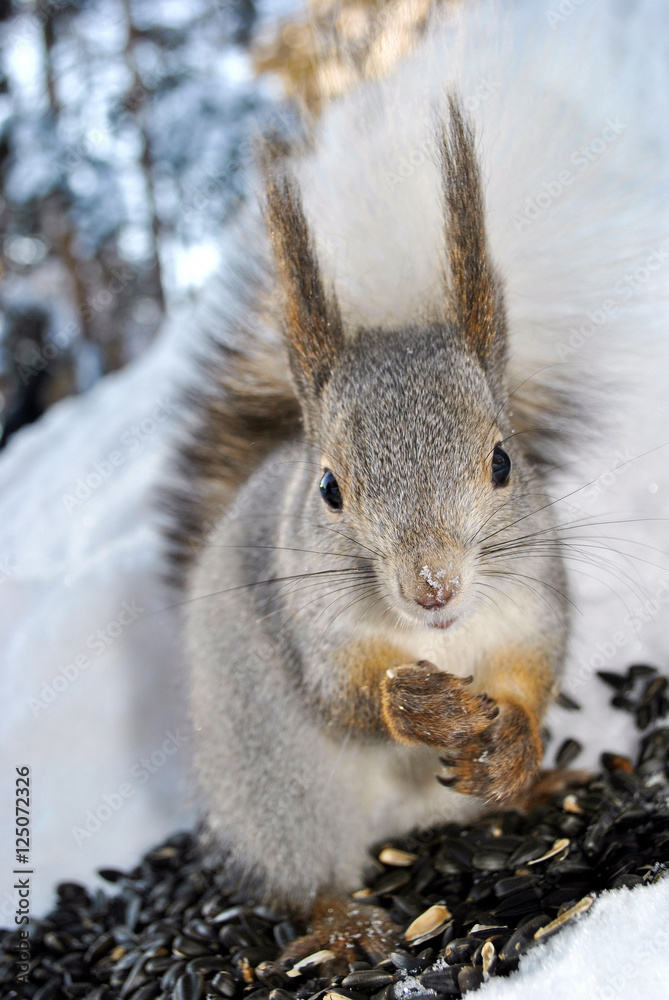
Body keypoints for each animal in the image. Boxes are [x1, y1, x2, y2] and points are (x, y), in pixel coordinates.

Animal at [161, 0, 664, 964]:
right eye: (329, 489)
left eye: (502, 460)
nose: (432, 587)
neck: (444, 638)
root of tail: (402, 825)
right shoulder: (311, 627)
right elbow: (343, 697)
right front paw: (416, 703)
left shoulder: (535, 599)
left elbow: (532, 673)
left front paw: (512, 745)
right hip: (276, 785)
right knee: (308, 871)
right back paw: (345, 922)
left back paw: (534, 787)